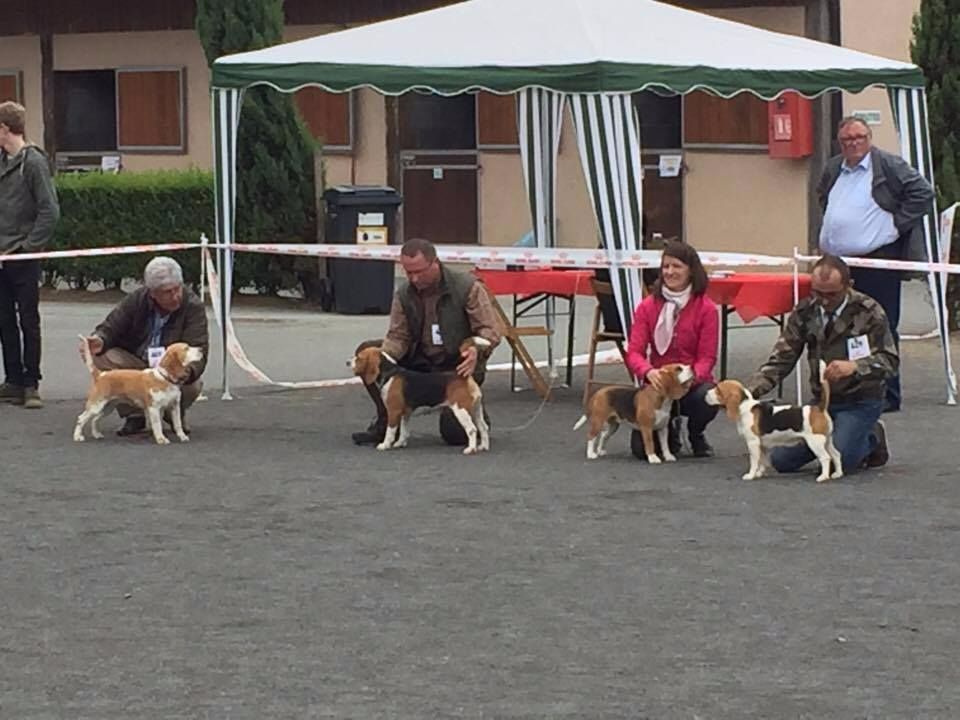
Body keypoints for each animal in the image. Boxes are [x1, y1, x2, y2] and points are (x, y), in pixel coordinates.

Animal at [74, 336, 203, 444]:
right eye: (186, 348)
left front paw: (182, 436)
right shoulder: (154, 408)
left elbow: (178, 424)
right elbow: (157, 425)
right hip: (96, 405)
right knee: (81, 418)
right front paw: (161, 439)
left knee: (95, 419)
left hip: (107, 407)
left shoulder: (175, 407)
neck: (165, 379)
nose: (201, 349)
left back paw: (96, 434)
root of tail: (100, 375)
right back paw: (77, 437)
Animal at [348, 338, 492, 456]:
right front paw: (400, 443)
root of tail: (463, 376)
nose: (347, 362)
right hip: (475, 410)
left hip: (461, 410)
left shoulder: (393, 412)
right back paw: (483, 447)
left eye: (359, 357)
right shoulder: (405, 413)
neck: (390, 373)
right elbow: (404, 430)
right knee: (483, 427)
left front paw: (385, 445)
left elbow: (390, 431)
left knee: (472, 429)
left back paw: (471, 449)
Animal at [704, 360, 840, 484]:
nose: (706, 393)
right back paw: (837, 474)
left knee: (826, 457)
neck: (745, 407)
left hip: (815, 442)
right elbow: (763, 461)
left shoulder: (753, 443)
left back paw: (823, 477)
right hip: (827, 440)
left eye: (718, 389)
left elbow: (754, 461)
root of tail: (819, 408)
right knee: (836, 454)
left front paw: (751, 475)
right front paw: (759, 473)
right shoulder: (762, 445)